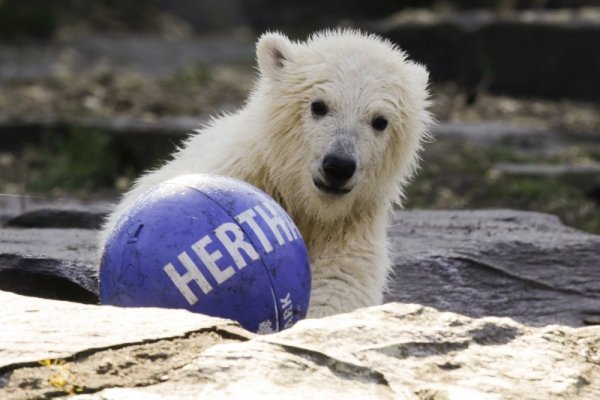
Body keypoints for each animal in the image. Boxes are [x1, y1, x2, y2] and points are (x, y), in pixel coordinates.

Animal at [102, 29, 432, 318]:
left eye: (380, 121)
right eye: (319, 105)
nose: (338, 166)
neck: (301, 197)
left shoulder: (350, 225)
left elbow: (341, 284)